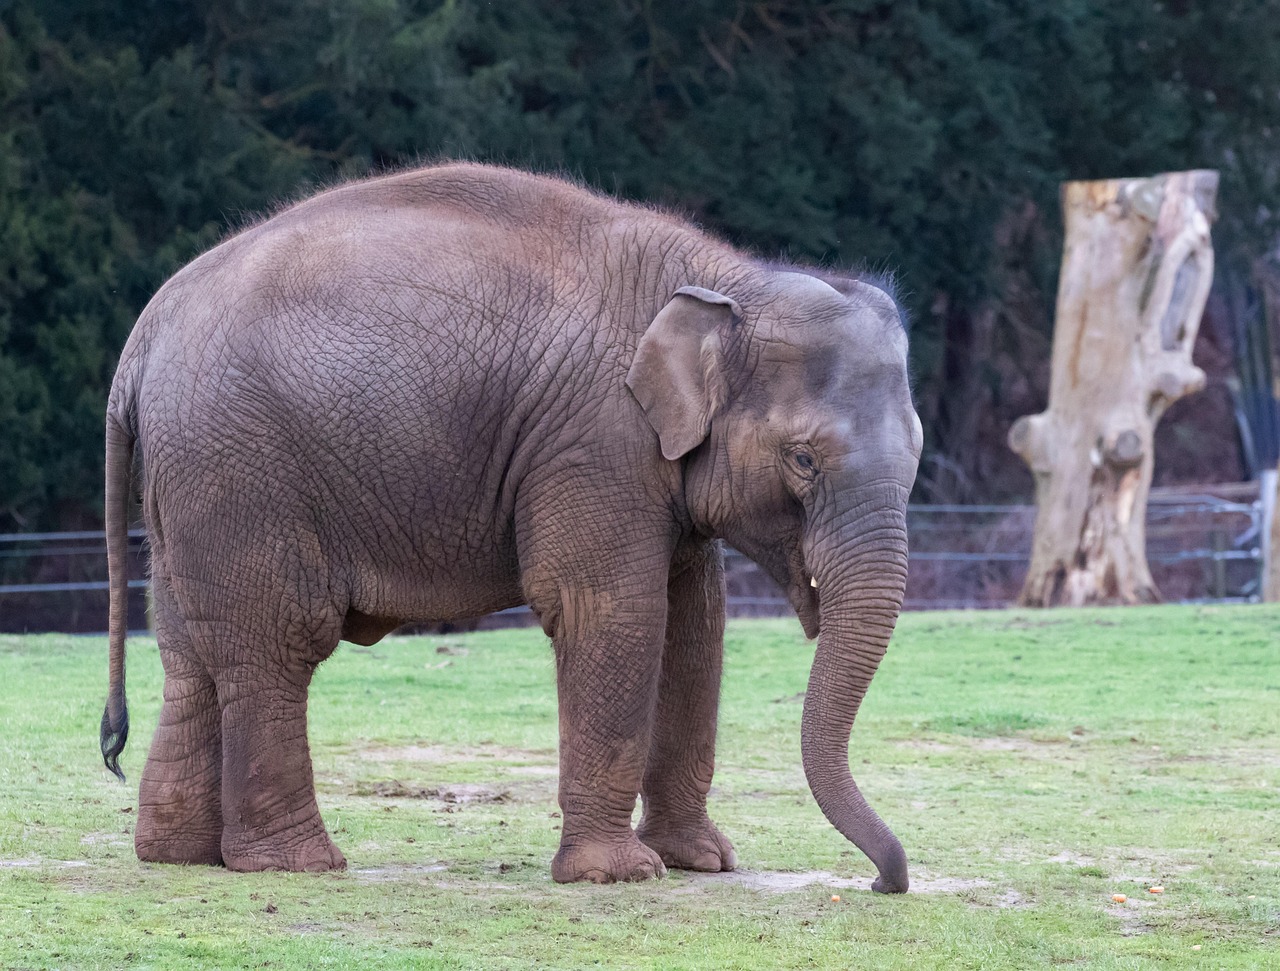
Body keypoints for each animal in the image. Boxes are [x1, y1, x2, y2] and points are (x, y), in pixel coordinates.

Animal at [100, 162, 922, 892]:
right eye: (804, 459)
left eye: (917, 450)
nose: (883, 882)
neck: (731, 279)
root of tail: (141, 340)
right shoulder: (595, 441)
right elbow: (612, 611)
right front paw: (617, 876)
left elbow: (696, 625)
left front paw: (702, 863)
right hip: (238, 468)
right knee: (274, 640)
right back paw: (296, 864)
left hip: (188, 483)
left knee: (189, 650)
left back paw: (180, 856)